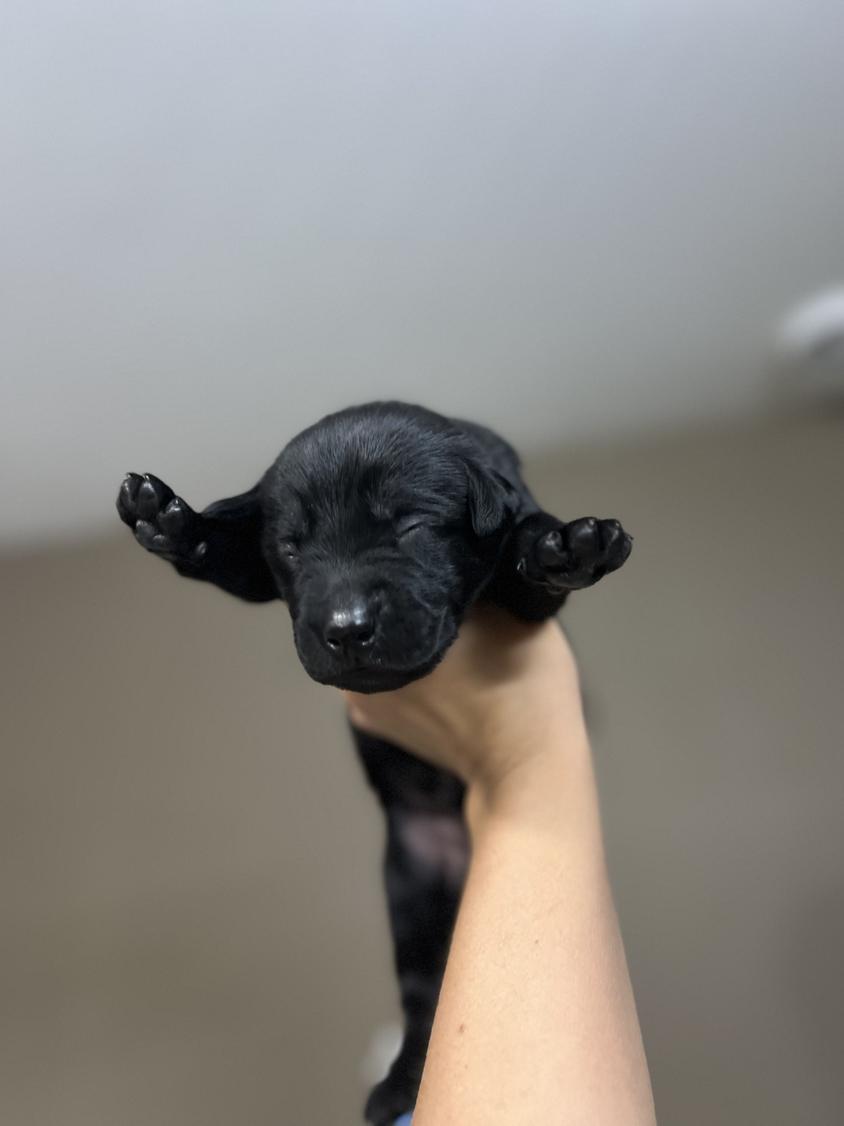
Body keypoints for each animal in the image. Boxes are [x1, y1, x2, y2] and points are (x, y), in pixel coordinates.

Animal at [114, 400, 634, 1121]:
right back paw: (399, 1083)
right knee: (422, 1000)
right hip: (411, 889)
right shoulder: (257, 570)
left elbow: (528, 560)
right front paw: (169, 520)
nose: (346, 626)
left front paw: (563, 548)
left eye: (411, 526)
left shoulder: (525, 595)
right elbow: (230, 555)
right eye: (292, 547)